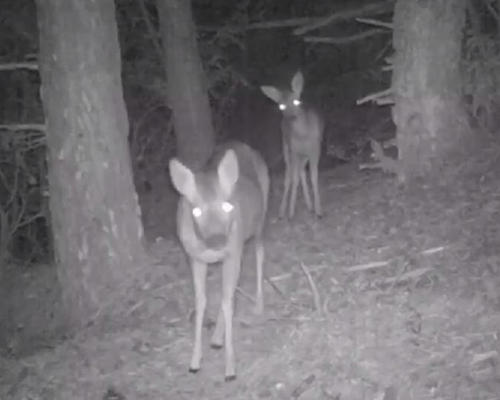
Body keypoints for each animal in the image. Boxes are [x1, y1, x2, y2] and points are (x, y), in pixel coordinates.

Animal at [168, 141, 270, 382]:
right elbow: (202, 301)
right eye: (196, 210)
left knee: (259, 254)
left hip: (258, 222)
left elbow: (225, 301)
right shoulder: (195, 257)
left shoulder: (232, 251)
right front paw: (194, 361)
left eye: (226, 206)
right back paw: (216, 339)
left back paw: (258, 305)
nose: (217, 240)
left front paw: (230, 369)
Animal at [262, 70, 324, 220]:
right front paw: (290, 213)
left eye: (296, 101)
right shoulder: (293, 150)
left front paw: (319, 211)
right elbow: (294, 178)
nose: (290, 117)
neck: (303, 136)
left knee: (301, 171)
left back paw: (310, 206)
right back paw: (281, 211)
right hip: (285, 147)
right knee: (290, 175)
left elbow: (313, 176)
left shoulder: (315, 148)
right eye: (281, 106)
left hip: (304, 154)